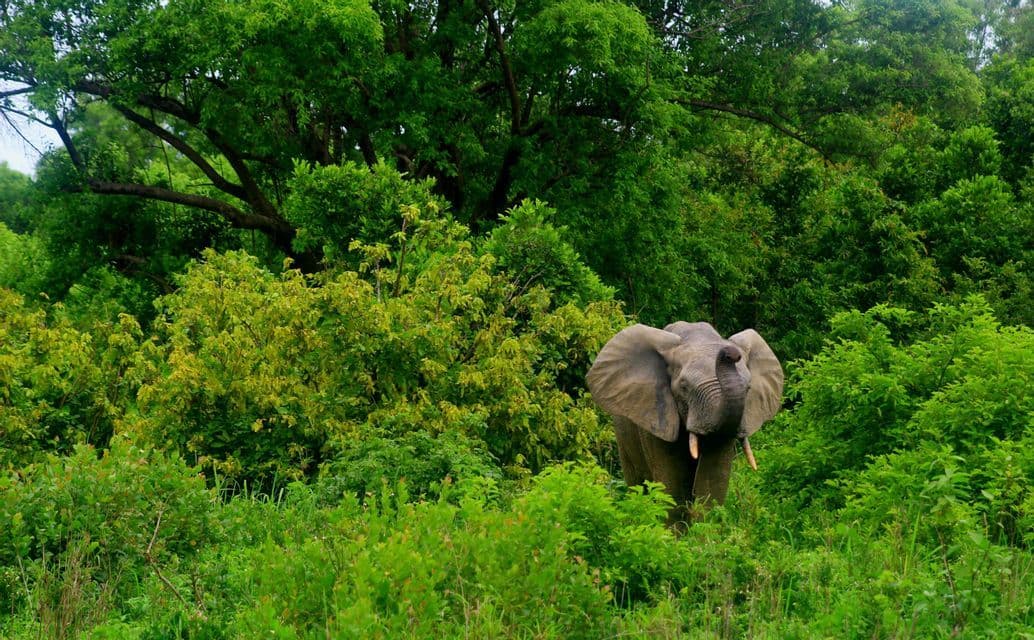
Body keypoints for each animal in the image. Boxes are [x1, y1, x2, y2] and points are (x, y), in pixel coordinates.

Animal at [586, 321, 783, 524]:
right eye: (684, 387)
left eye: (749, 388)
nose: (731, 354)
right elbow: (673, 485)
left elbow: (712, 480)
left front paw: (706, 531)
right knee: (637, 483)